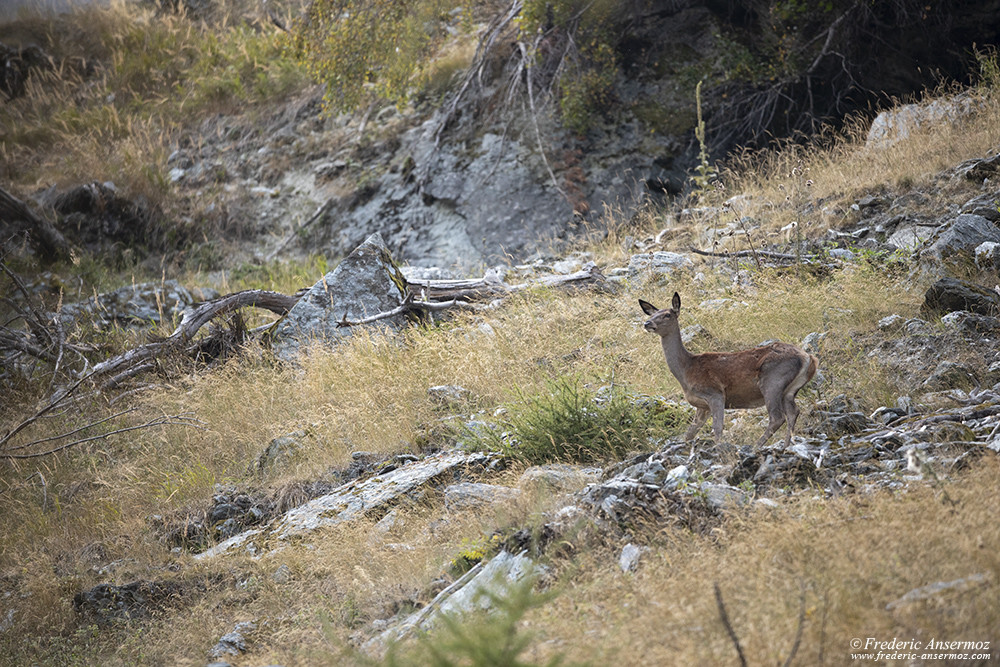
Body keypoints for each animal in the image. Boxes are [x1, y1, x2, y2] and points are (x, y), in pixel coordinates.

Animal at [640, 296, 820, 448]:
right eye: (653, 313)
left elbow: (718, 427)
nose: (647, 323)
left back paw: (756, 447)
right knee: (793, 412)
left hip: (772, 381)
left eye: (668, 315)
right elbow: (689, 434)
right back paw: (786, 446)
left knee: (777, 417)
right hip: (789, 390)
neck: (687, 369)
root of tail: (808, 357)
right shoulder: (702, 406)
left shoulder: (715, 393)